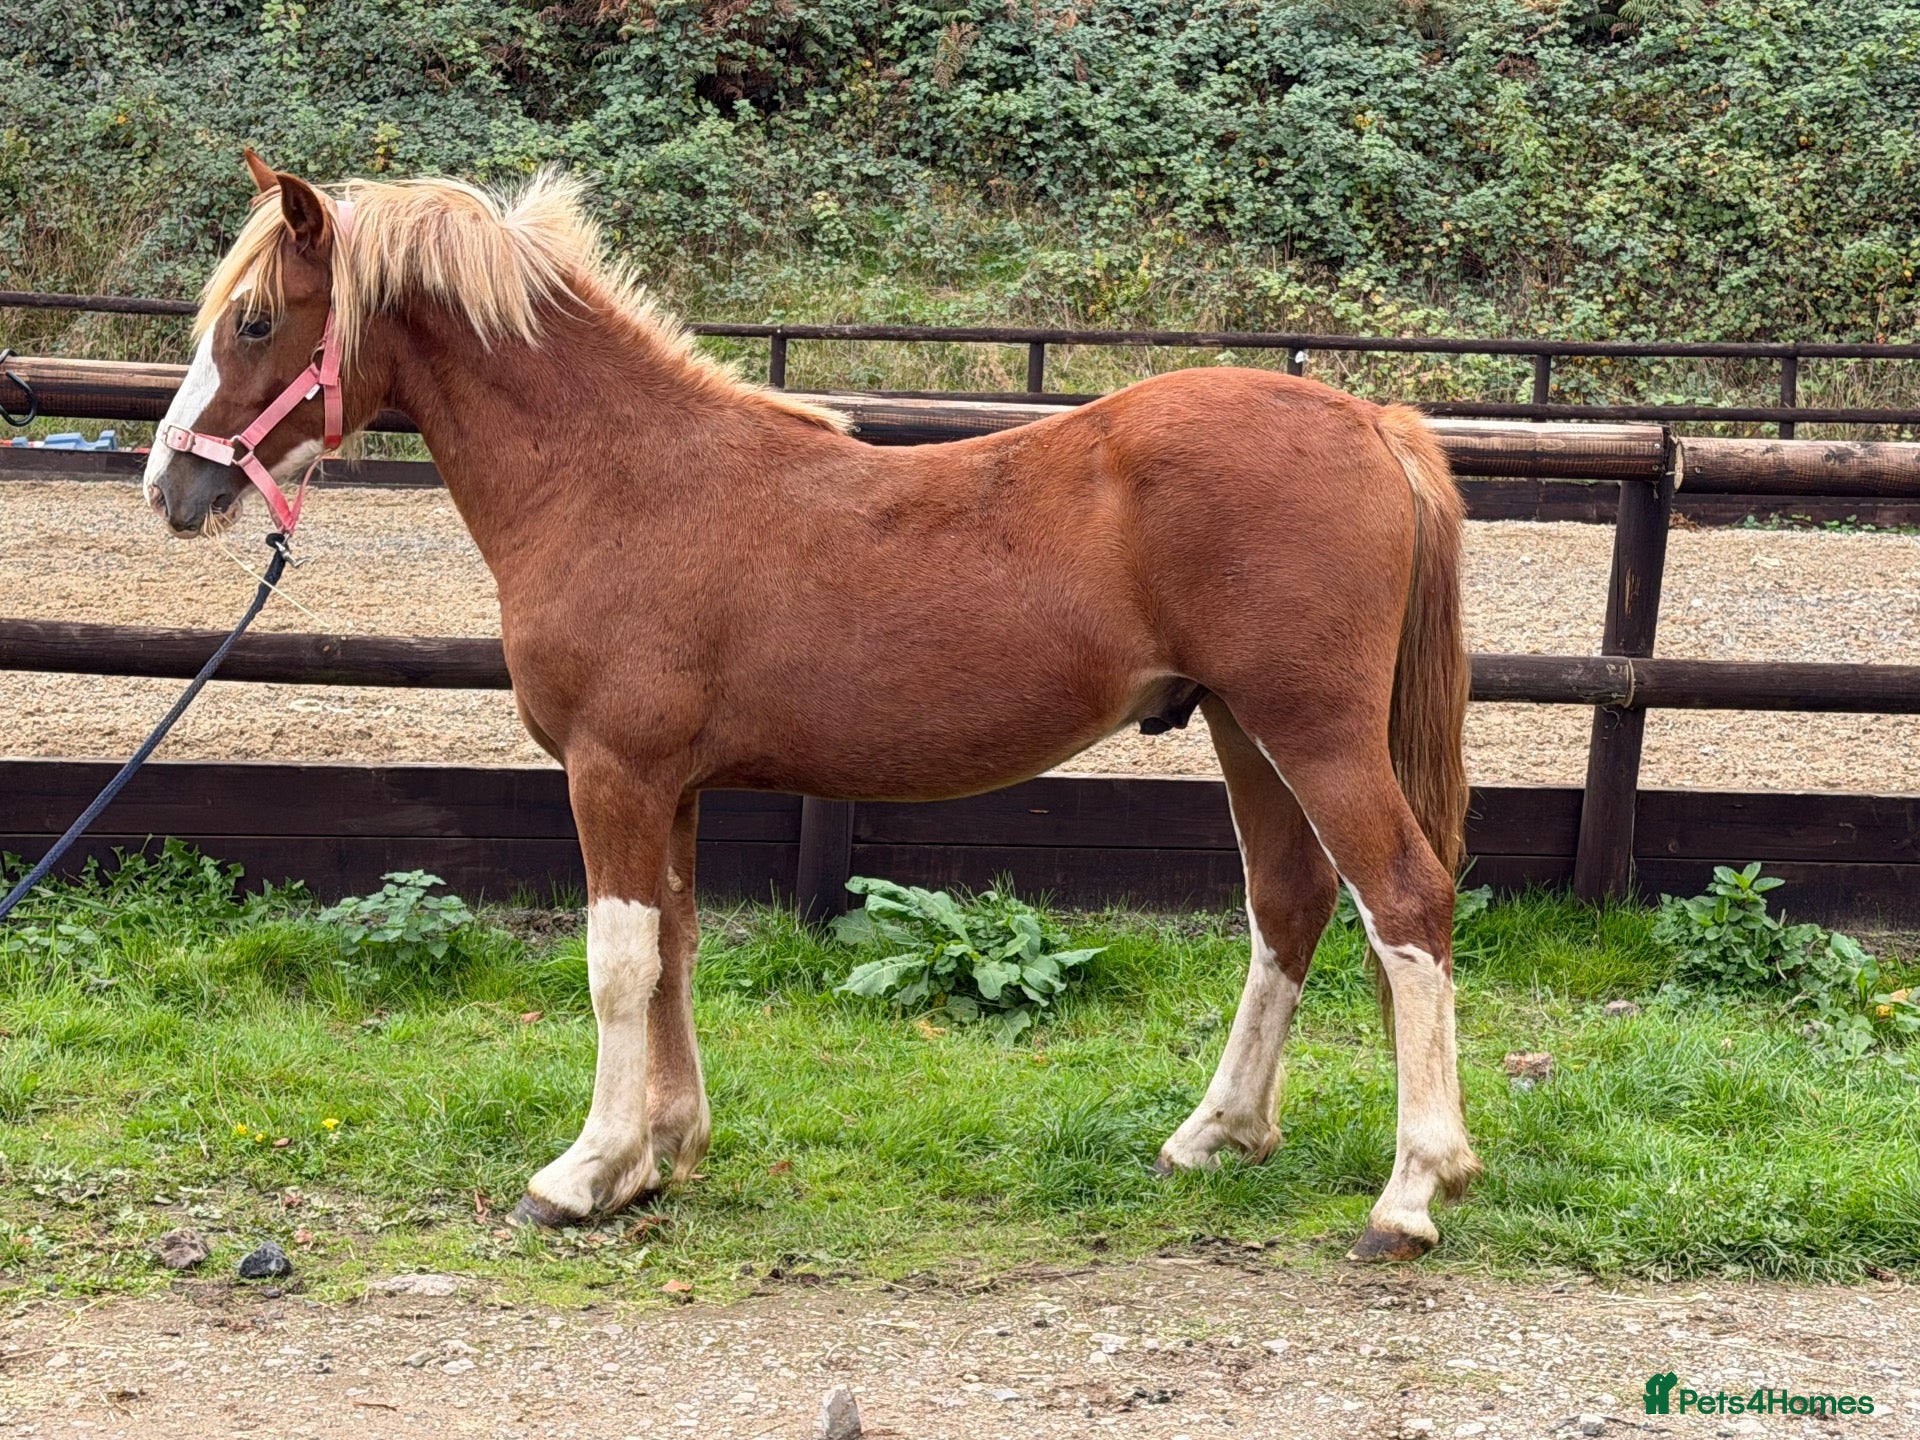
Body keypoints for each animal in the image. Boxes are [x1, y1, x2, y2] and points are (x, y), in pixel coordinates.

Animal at [143, 152, 1480, 1262]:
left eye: (254, 320)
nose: (168, 486)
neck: (617, 480)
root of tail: (1374, 420)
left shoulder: (612, 773)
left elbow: (616, 963)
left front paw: (580, 1174)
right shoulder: (671, 788)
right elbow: (675, 951)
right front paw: (659, 1156)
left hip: (1312, 731)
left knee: (1404, 902)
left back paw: (1413, 1191)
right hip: (1246, 731)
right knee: (1290, 905)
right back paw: (1216, 1135)